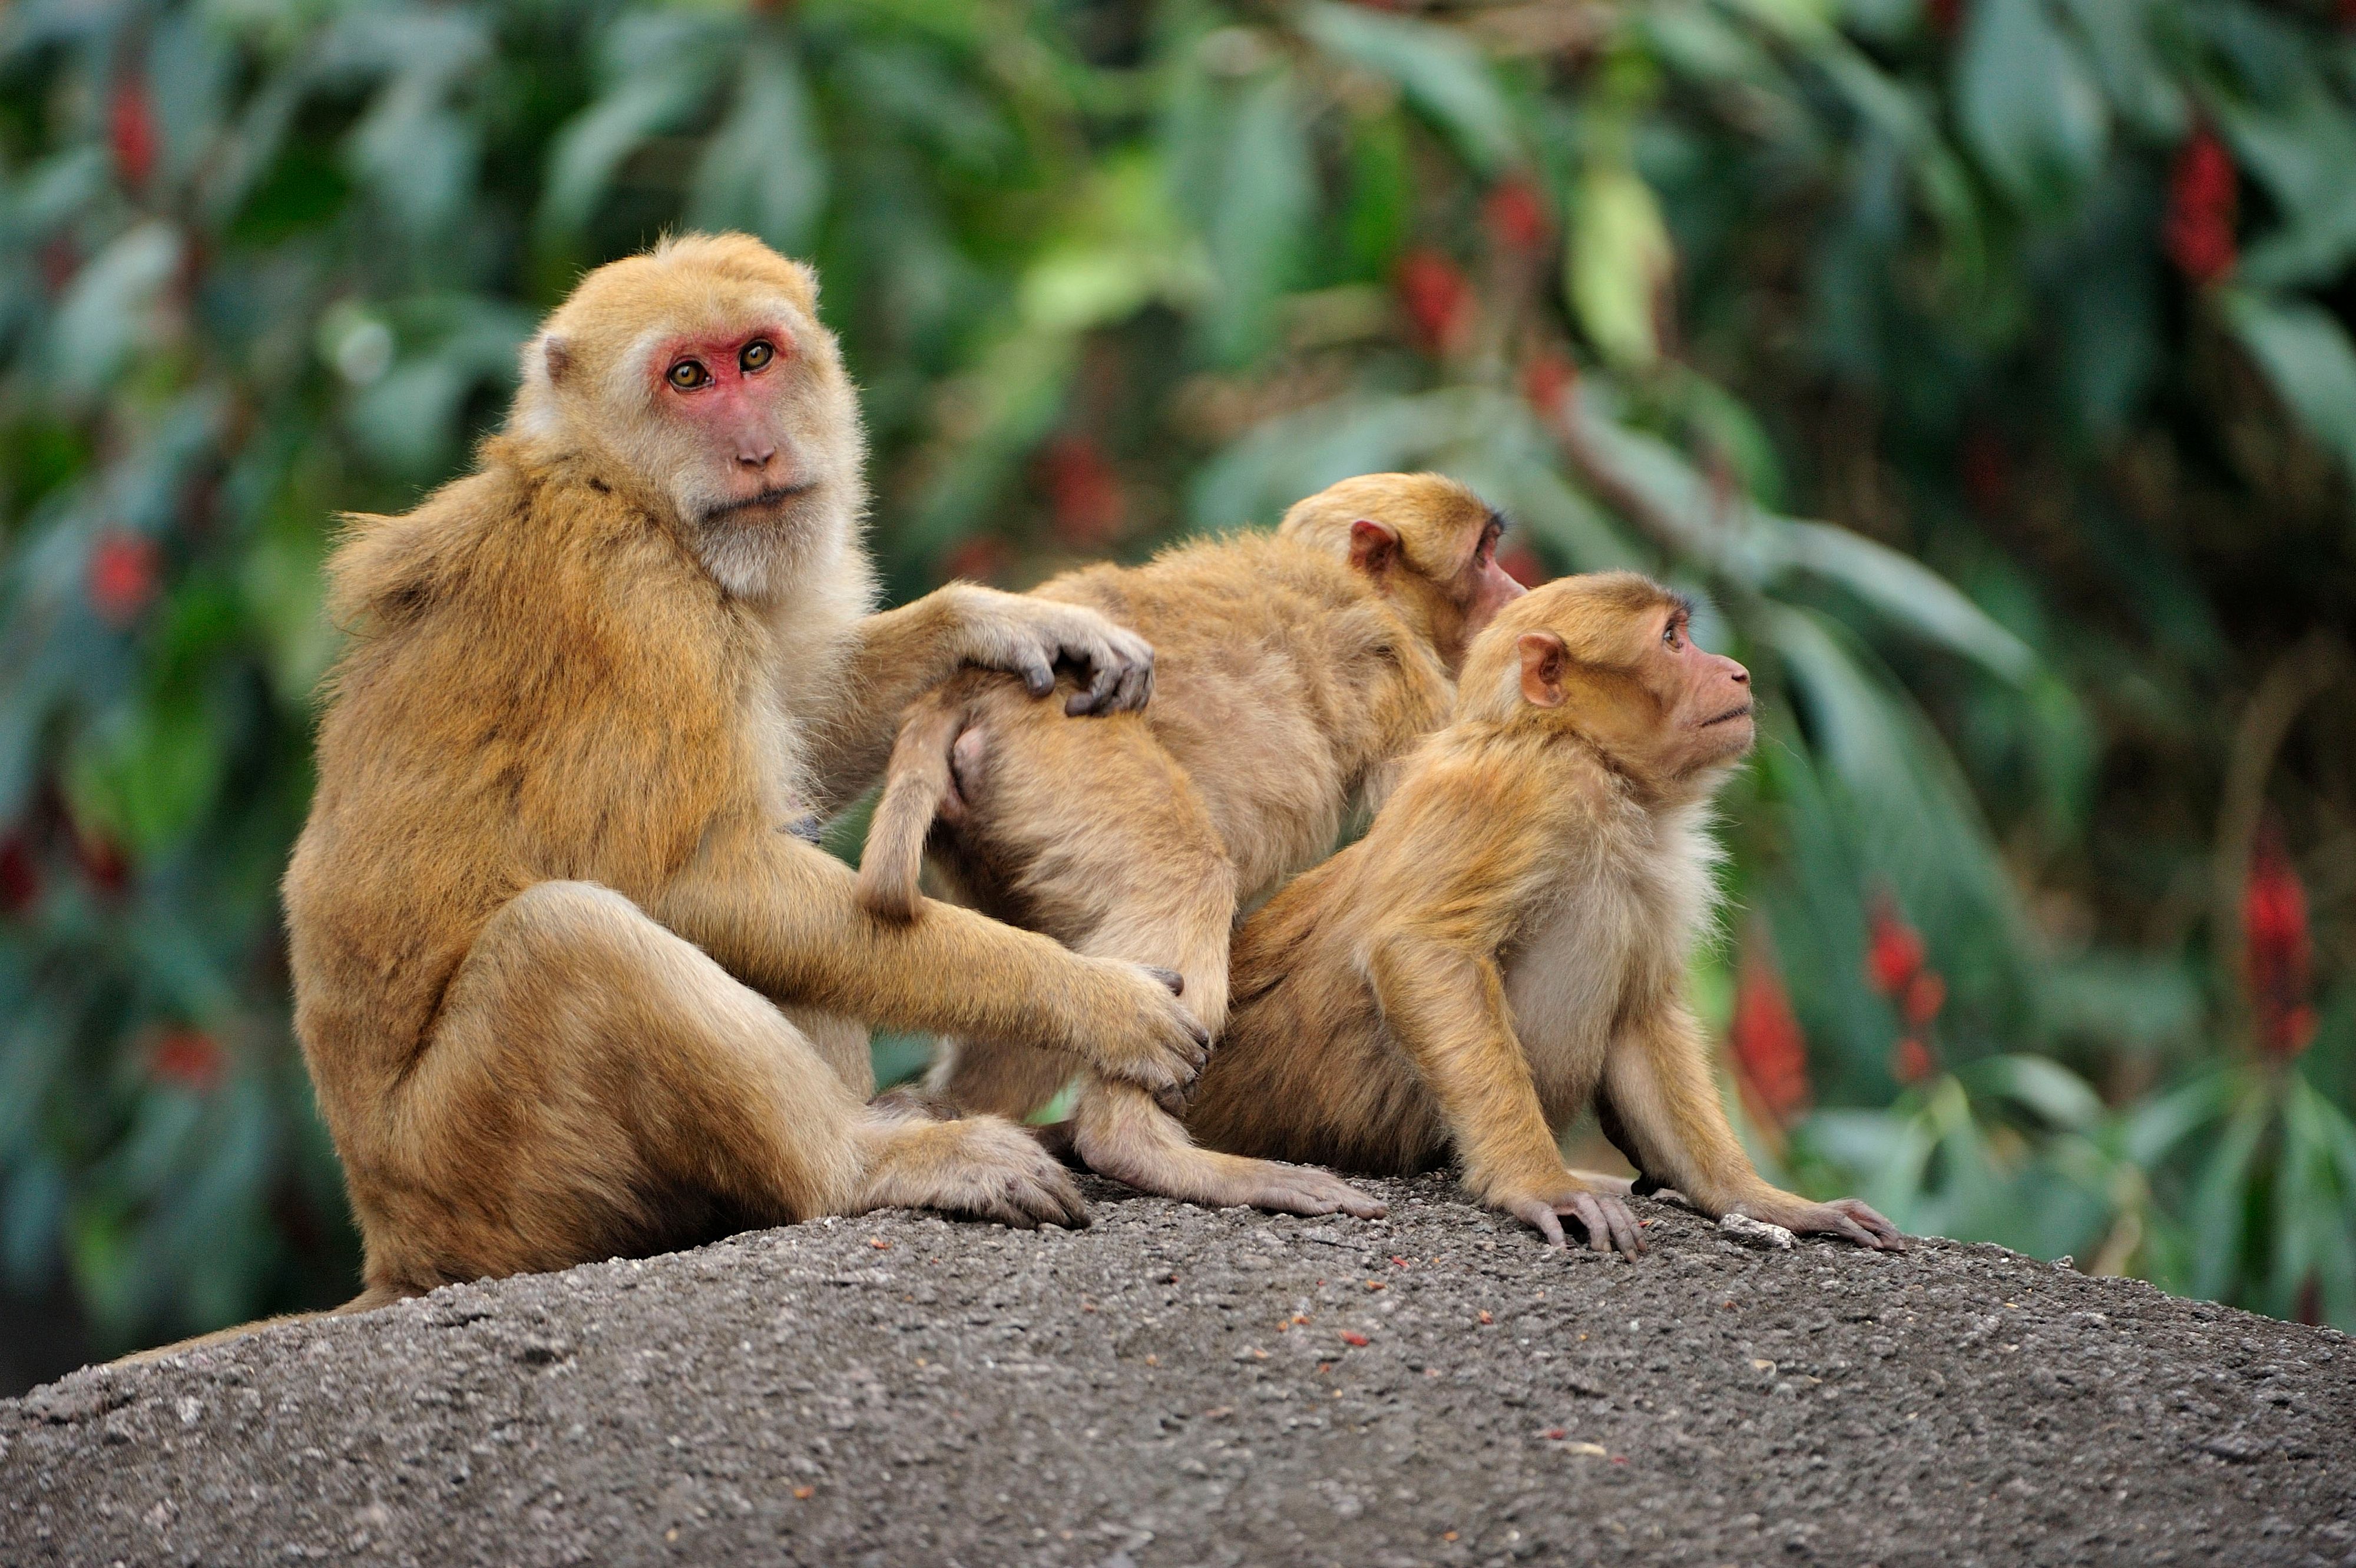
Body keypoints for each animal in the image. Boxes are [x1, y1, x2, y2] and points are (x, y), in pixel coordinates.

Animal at [177, 233, 1224, 1351]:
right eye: (688, 379)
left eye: (755, 357)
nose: (757, 451)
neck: (623, 491)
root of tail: (399, 1246)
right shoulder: (638, 606)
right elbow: (702, 879)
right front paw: (1093, 999)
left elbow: (802, 721)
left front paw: (997, 620)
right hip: (493, 1172)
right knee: (572, 937)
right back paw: (867, 1166)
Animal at [855, 473, 1528, 1217]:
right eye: (1481, 557)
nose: (1516, 591)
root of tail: (967, 689)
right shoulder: (1399, 669)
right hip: (1068, 749)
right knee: (1185, 873)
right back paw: (1143, 1149)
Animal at [1180, 572, 1905, 1256]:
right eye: (1672, 640)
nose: (1737, 671)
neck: (1588, 758)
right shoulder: (1527, 793)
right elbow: (1424, 950)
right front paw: (1538, 1183)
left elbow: (1641, 1011)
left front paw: (1757, 1198)